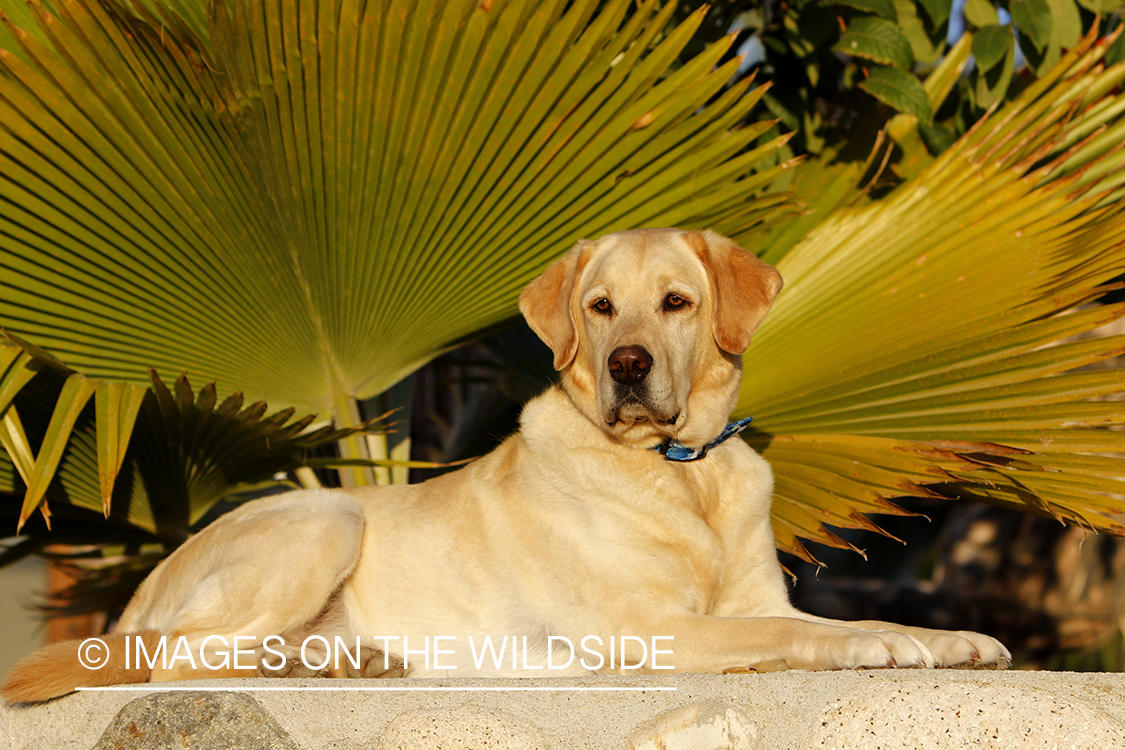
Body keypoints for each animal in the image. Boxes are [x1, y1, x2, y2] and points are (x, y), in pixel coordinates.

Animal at [2, 229, 1012, 706]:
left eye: (675, 303)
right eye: (600, 307)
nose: (628, 365)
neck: (679, 470)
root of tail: (139, 594)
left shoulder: (759, 597)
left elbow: (840, 615)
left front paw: (948, 638)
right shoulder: (645, 630)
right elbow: (800, 635)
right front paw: (882, 646)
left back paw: (347, 662)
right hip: (326, 519)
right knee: (179, 661)